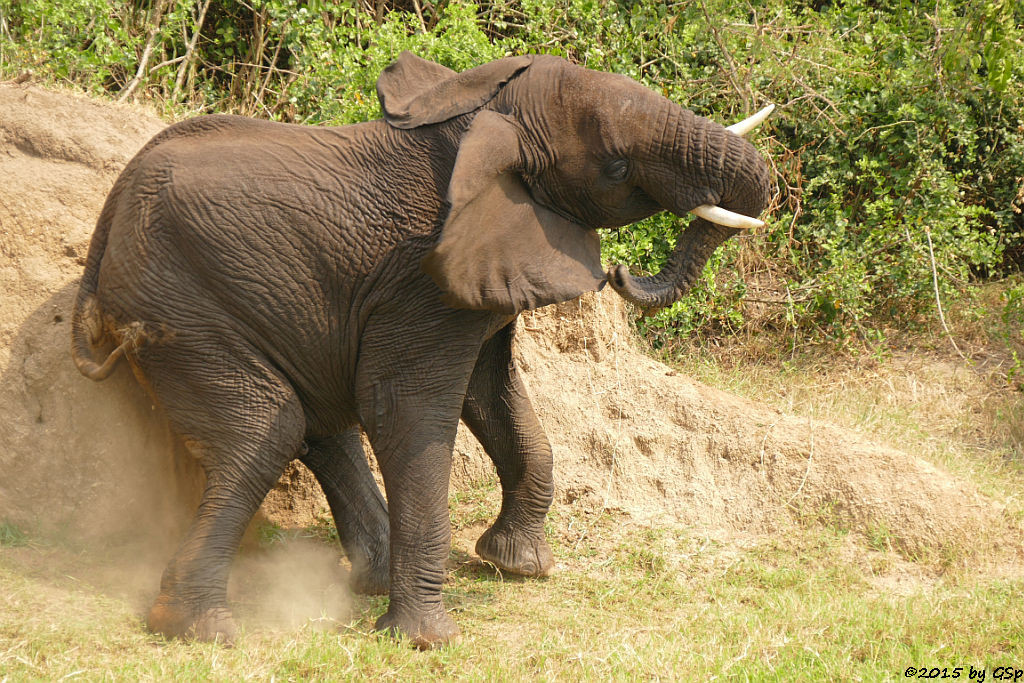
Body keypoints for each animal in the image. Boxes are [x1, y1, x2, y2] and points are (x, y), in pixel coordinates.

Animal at [72, 50, 770, 651]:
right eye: (618, 166)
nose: (622, 273)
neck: (484, 120)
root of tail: (108, 218)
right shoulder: (417, 281)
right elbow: (407, 410)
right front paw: (426, 640)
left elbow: (492, 397)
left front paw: (517, 567)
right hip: (177, 305)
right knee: (267, 429)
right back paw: (198, 628)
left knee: (313, 423)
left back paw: (367, 581)